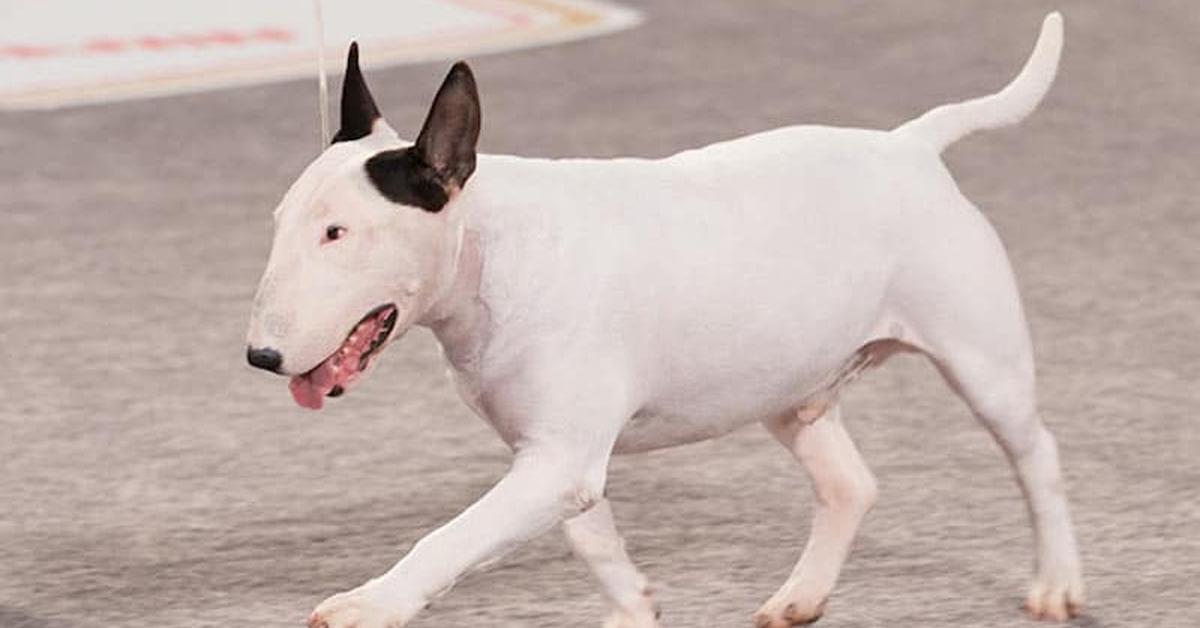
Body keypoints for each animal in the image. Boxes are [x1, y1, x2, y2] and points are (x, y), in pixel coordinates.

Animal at [248, 11, 1084, 628]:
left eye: (339, 233)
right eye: (282, 221)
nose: (261, 357)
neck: (490, 251)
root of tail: (910, 146)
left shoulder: (557, 459)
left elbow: (453, 537)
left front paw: (368, 603)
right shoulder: (551, 452)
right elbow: (589, 533)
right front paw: (634, 606)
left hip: (981, 357)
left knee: (1036, 455)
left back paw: (1057, 582)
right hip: (789, 381)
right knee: (851, 485)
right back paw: (800, 597)